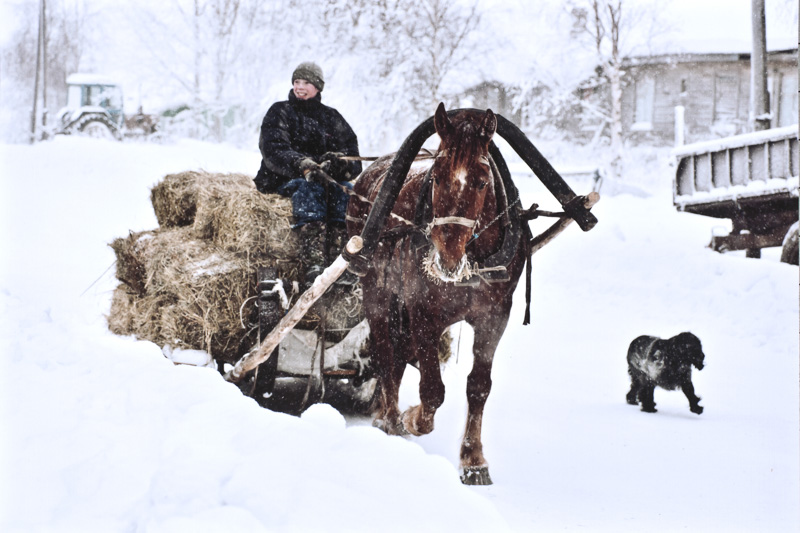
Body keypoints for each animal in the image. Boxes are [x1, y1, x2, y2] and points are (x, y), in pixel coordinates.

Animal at [346, 102, 528, 484]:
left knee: (398, 356)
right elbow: (432, 389)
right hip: (377, 293)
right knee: (385, 355)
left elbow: (478, 386)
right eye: (437, 177)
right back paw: (389, 419)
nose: (447, 258)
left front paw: (473, 460)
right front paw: (413, 418)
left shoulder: (495, 317)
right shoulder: (423, 311)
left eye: (482, 180)